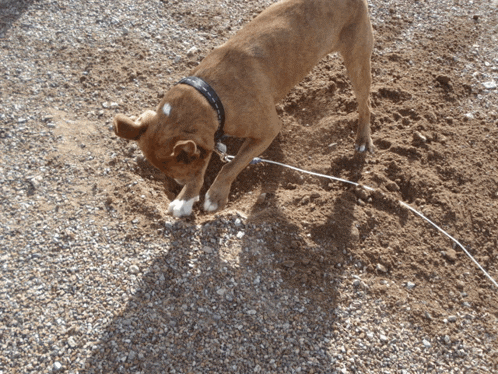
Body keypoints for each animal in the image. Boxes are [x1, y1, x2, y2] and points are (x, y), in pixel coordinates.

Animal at [114, 0, 374, 216]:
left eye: (182, 174)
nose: (176, 185)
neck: (209, 95)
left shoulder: (267, 131)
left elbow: (232, 165)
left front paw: (212, 197)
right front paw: (186, 198)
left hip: (358, 61)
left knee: (365, 105)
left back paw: (363, 139)